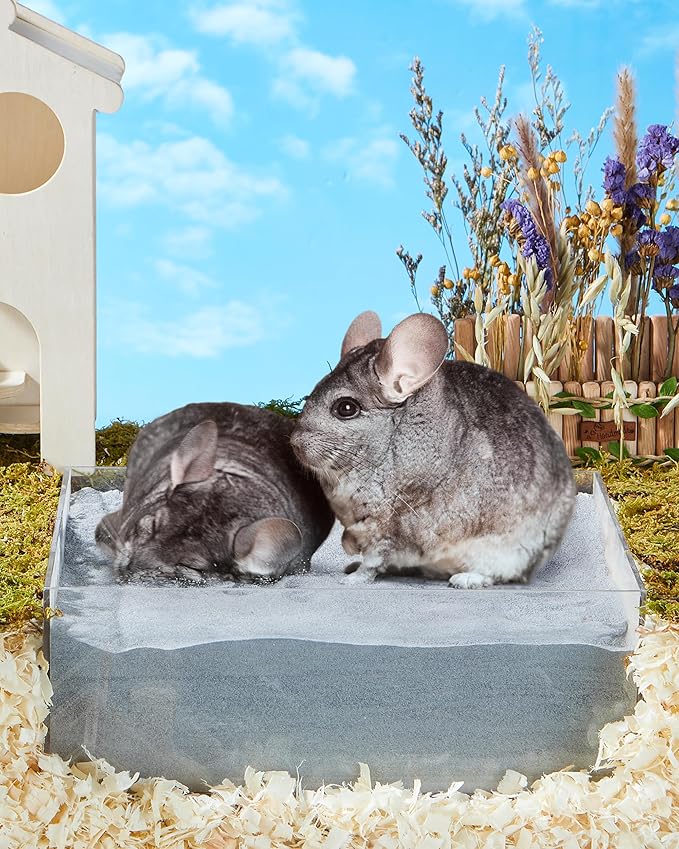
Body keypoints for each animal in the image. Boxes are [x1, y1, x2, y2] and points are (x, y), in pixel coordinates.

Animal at [290, 310, 576, 588]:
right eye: (310, 395)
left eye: (346, 408)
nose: (294, 442)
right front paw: (349, 554)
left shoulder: (387, 523)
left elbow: (374, 558)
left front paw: (351, 579)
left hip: (508, 551)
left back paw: (465, 580)